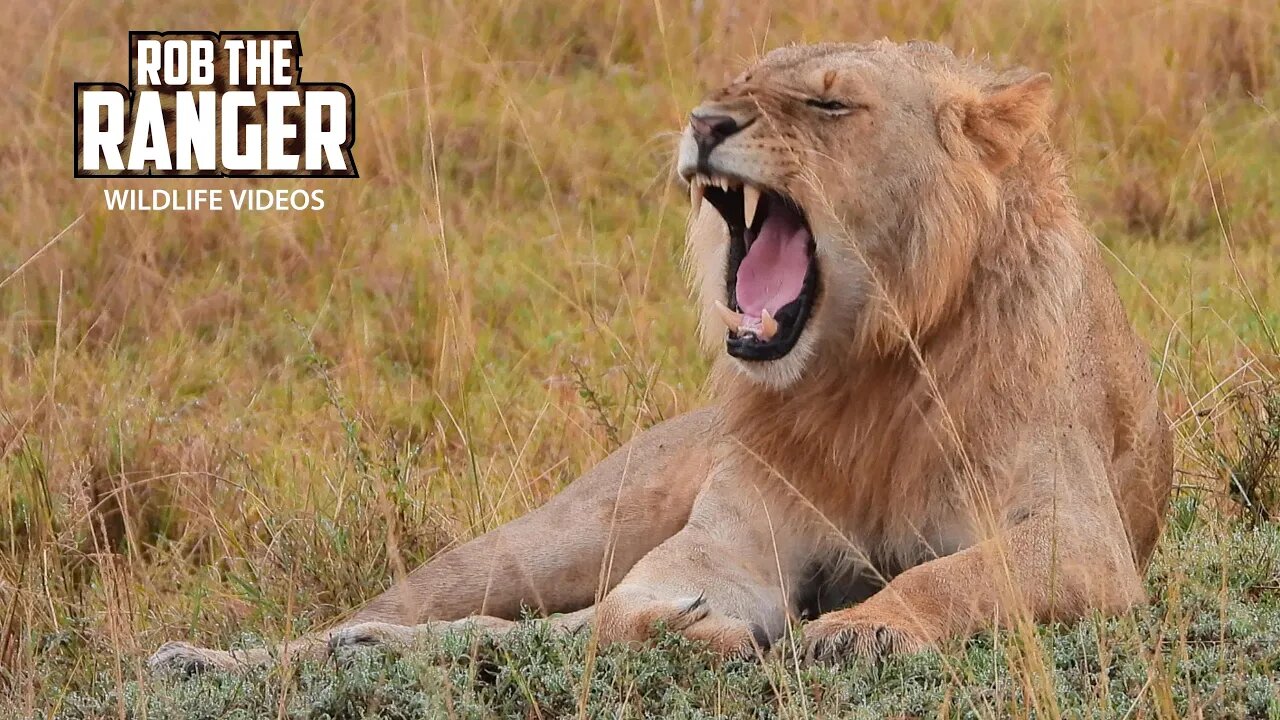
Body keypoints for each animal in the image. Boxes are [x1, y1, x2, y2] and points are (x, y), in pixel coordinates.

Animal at [147, 37, 1172, 666]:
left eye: (829, 105)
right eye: (739, 83)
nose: (707, 122)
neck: (860, 371)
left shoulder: (1082, 537)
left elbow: (954, 577)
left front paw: (858, 631)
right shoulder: (736, 534)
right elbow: (657, 601)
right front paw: (694, 630)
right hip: (557, 535)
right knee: (427, 610)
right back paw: (217, 659)